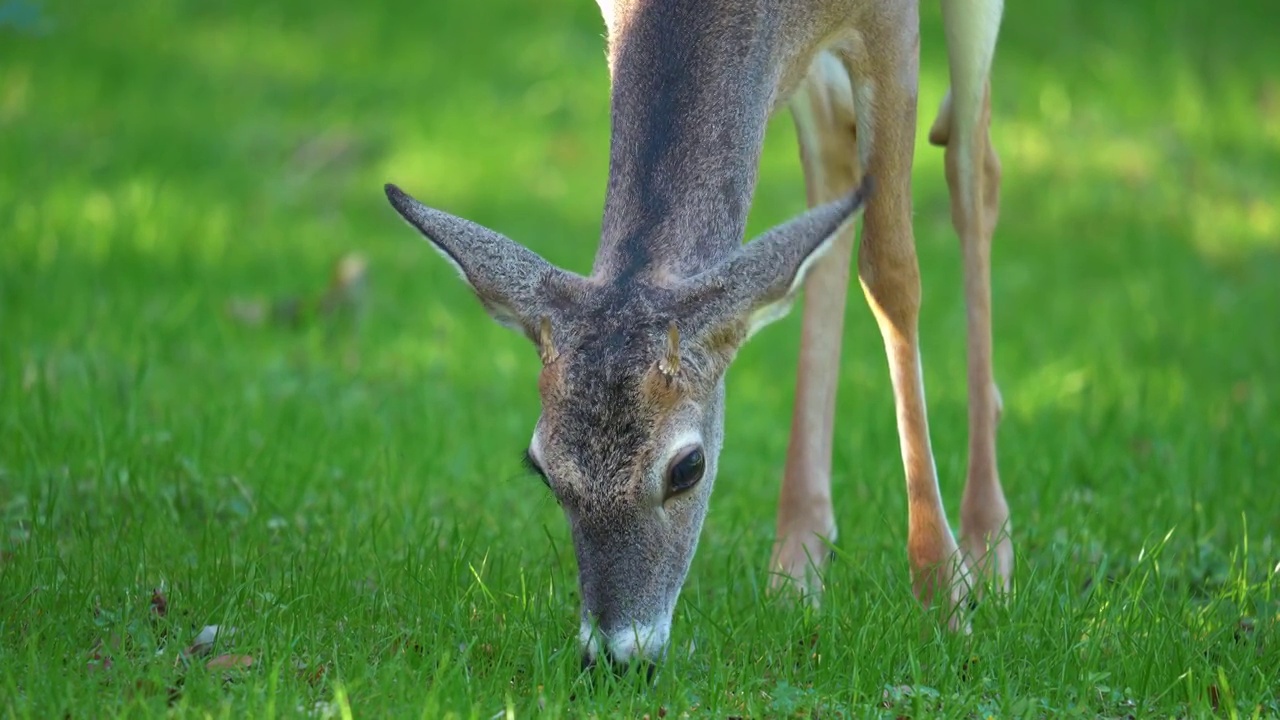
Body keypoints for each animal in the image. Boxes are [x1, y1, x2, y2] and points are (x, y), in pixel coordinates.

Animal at [378, 0, 1008, 666]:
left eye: (689, 468)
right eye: (541, 468)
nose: (617, 657)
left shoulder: (892, 19)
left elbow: (891, 268)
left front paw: (944, 600)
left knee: (973, 166)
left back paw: (987, 551)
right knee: (837, 163)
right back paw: (796, 565)